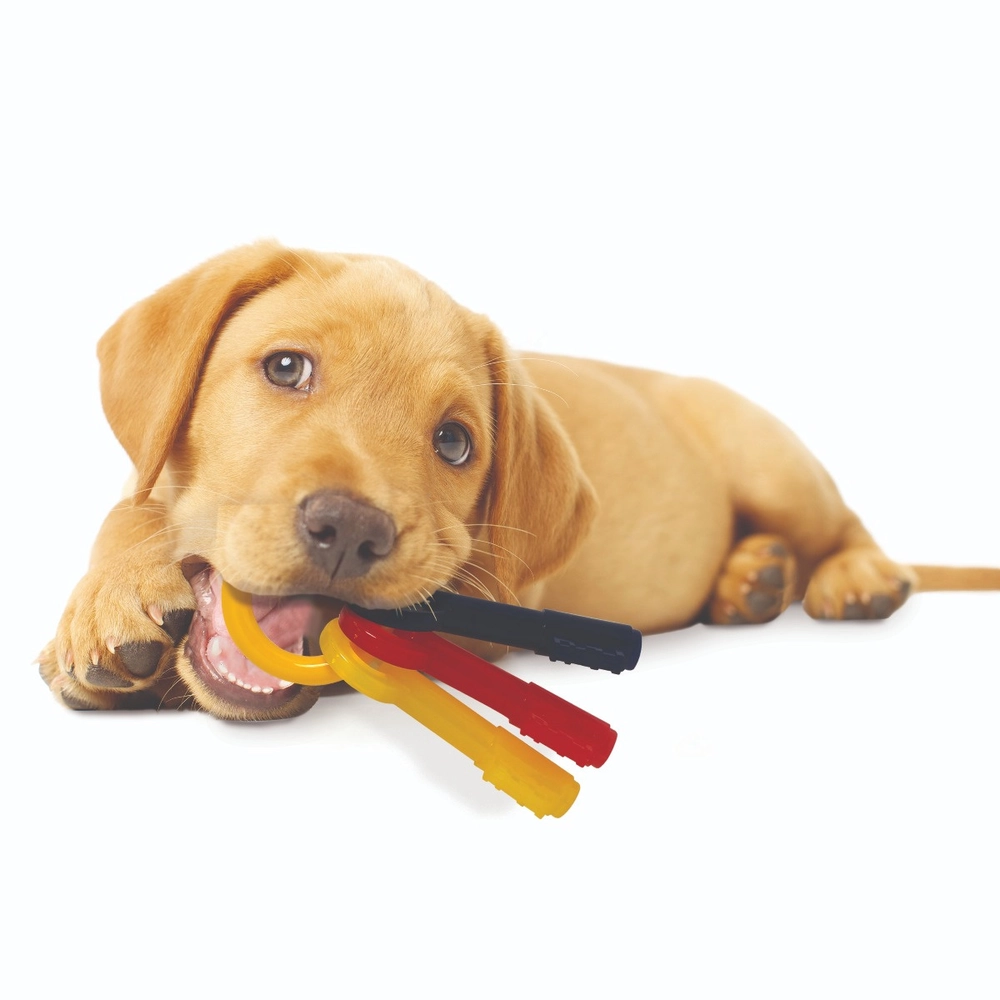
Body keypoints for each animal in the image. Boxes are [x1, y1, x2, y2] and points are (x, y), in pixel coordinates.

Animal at [38, 240, 1000, 720]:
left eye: (455, 443)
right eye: (284, 368)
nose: (350, 531)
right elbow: (130, 509)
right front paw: (106, 608)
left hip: (769, 457)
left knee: (846, 525)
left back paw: (854, 576)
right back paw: (748, 580)